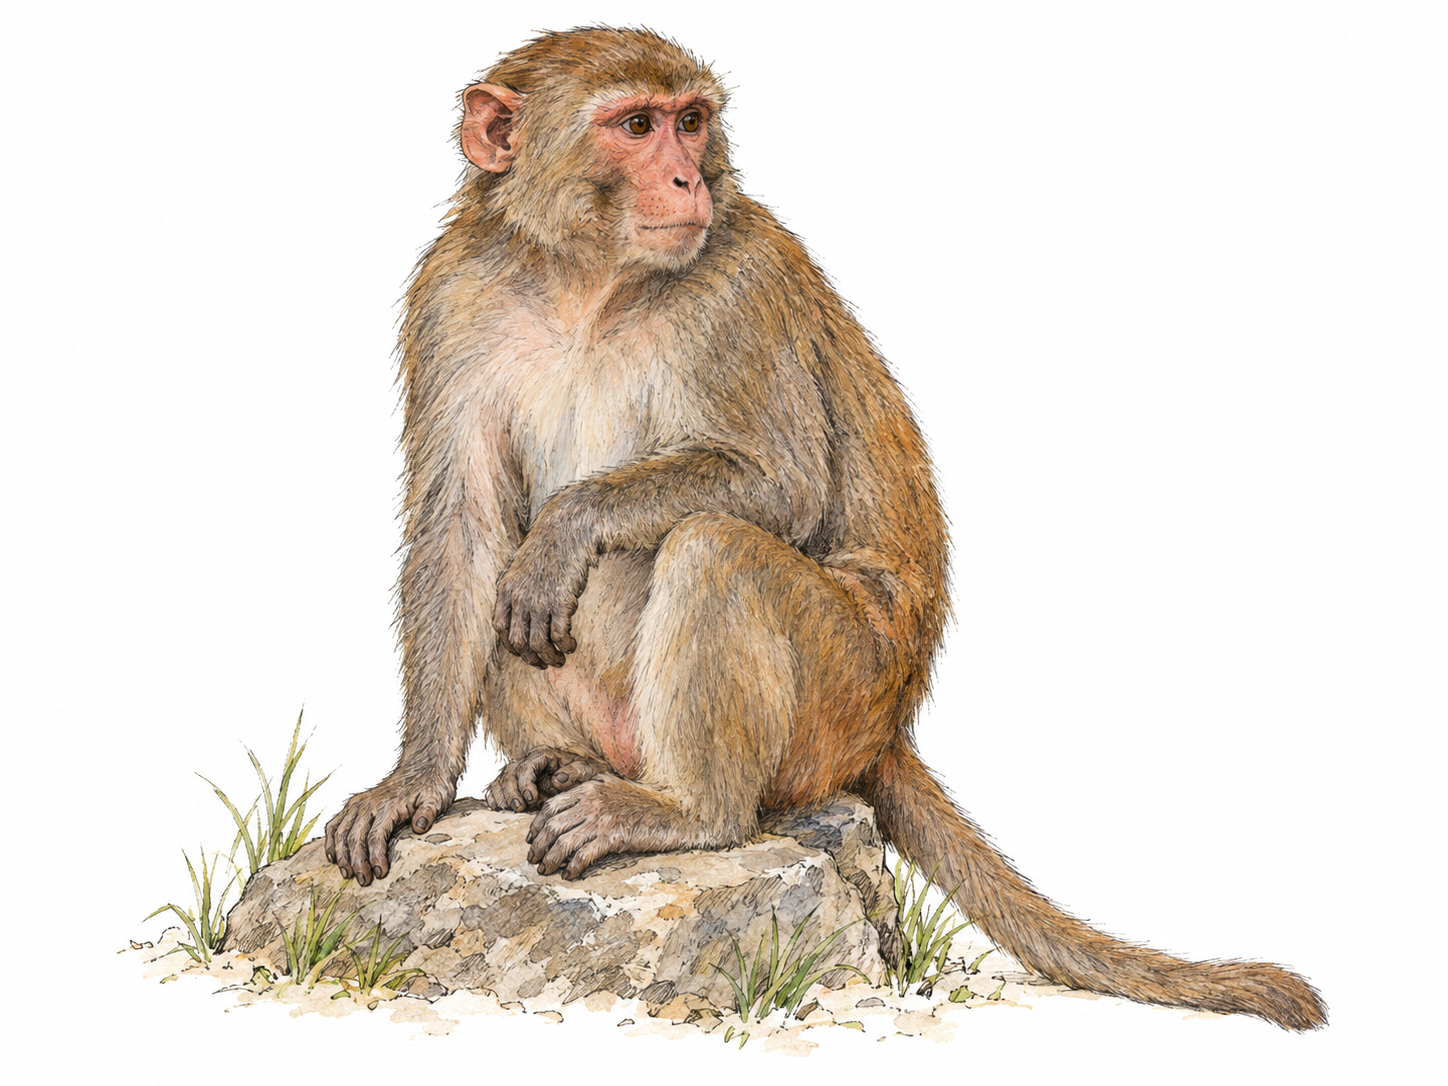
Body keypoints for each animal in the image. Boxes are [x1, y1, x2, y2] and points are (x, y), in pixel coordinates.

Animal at [322, 27, 1326, 1030]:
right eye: (636, 126)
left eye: (692, 122)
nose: (688, 179)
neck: (586, 281)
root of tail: (888, 727)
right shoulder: (452, 295)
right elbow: (460, 531)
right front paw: (414, 785)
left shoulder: (738, 288)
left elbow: (780, 486)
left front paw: (568, 530)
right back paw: (557, 767)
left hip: (842, 694)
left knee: (714, 550)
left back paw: (689, 811)